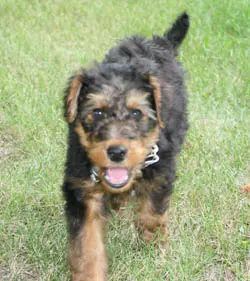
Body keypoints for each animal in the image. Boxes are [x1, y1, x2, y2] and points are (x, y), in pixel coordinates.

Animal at [62, 12, 189, 278]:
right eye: (97, 113)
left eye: (136, 113)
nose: (117, 152)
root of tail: (161, 42)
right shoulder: (82, 188)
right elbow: (87, 243)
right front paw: (90, 274)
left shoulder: (161, 171)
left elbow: (151, 213)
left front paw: (153, 250)